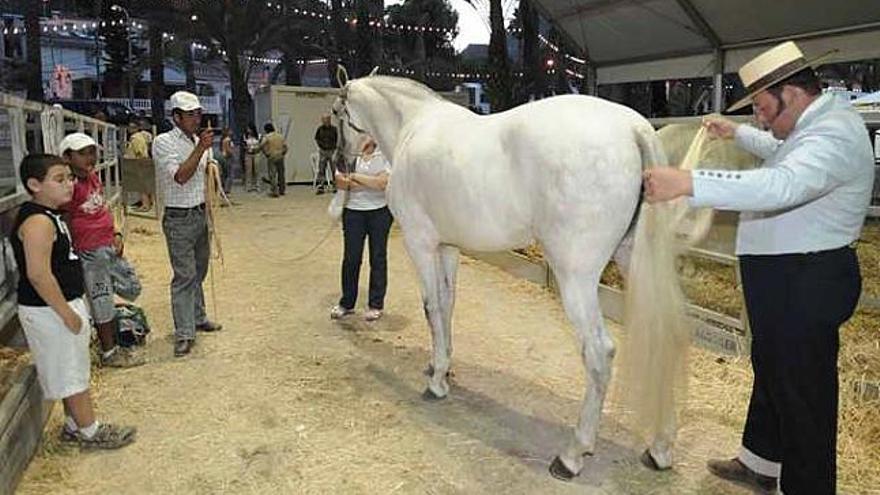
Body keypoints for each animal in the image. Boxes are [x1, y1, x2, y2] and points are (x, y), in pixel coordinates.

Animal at [334, 74, 692, 480]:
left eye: (337, 112)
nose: (341, 162)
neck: (413, 125)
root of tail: (634, 128)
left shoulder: (420, 243)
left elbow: (431, 307)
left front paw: (436, 382)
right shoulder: (448, 247)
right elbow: (447, 304)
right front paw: (442, 365)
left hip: (577, 278)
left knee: (599, 353)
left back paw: (572, 455)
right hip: (634, 261)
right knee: (666, 337)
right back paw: (659, 448)